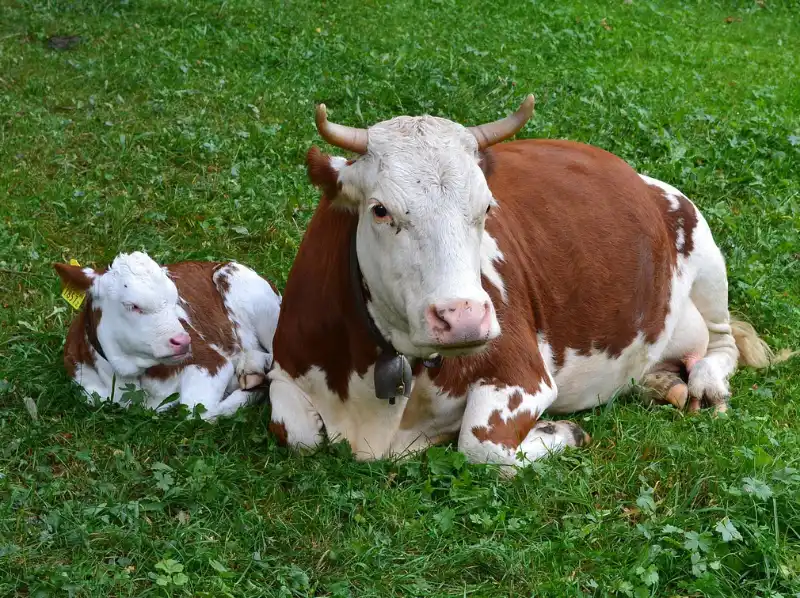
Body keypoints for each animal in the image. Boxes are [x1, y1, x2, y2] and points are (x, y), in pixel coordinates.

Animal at [55, 251, 282, 420]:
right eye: (132, 305)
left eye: (175, 300)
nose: (183, 341)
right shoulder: (86, 386)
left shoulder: (212, 361)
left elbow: (195, 410)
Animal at [267, 95, 780, 468]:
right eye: (380, 210)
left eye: (487, 207)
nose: (464, 319)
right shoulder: (286, 365)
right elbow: (297, 433)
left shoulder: (522, 375)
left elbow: (482, 447)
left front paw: (561, 430)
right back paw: (659, 383)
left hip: (704, 249)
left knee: (722, 343)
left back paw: (705, 383)